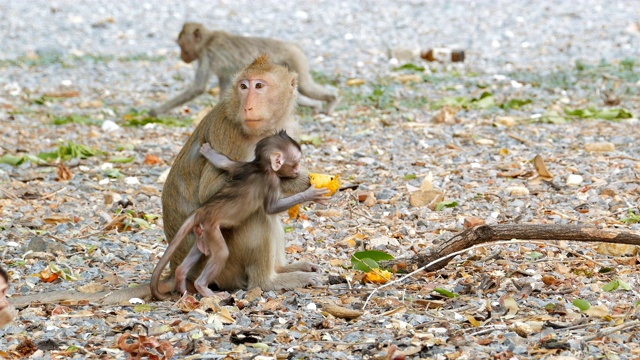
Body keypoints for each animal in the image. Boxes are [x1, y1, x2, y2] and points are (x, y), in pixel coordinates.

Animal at [149, 21, 340, 116]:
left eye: (182, 45)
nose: (182, 56)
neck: (208, 40)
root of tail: (293, 46)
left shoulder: (208, 55)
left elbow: (198, 88)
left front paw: (156, 111)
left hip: (294, 60)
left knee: (305, 86)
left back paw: (332, 100)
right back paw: (315, 105)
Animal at [151, 131, 330, 300]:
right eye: (295, 163)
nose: (298, 170)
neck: (261, 167)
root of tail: (201, 211)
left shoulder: (243, 165)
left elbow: (227, 164)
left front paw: (208, 151)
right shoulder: (271, 180)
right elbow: (271, 208)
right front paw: (310, 194)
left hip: (203, 231)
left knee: (199, 249)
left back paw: (181, 274)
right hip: (212, 228)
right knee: (237, 240)